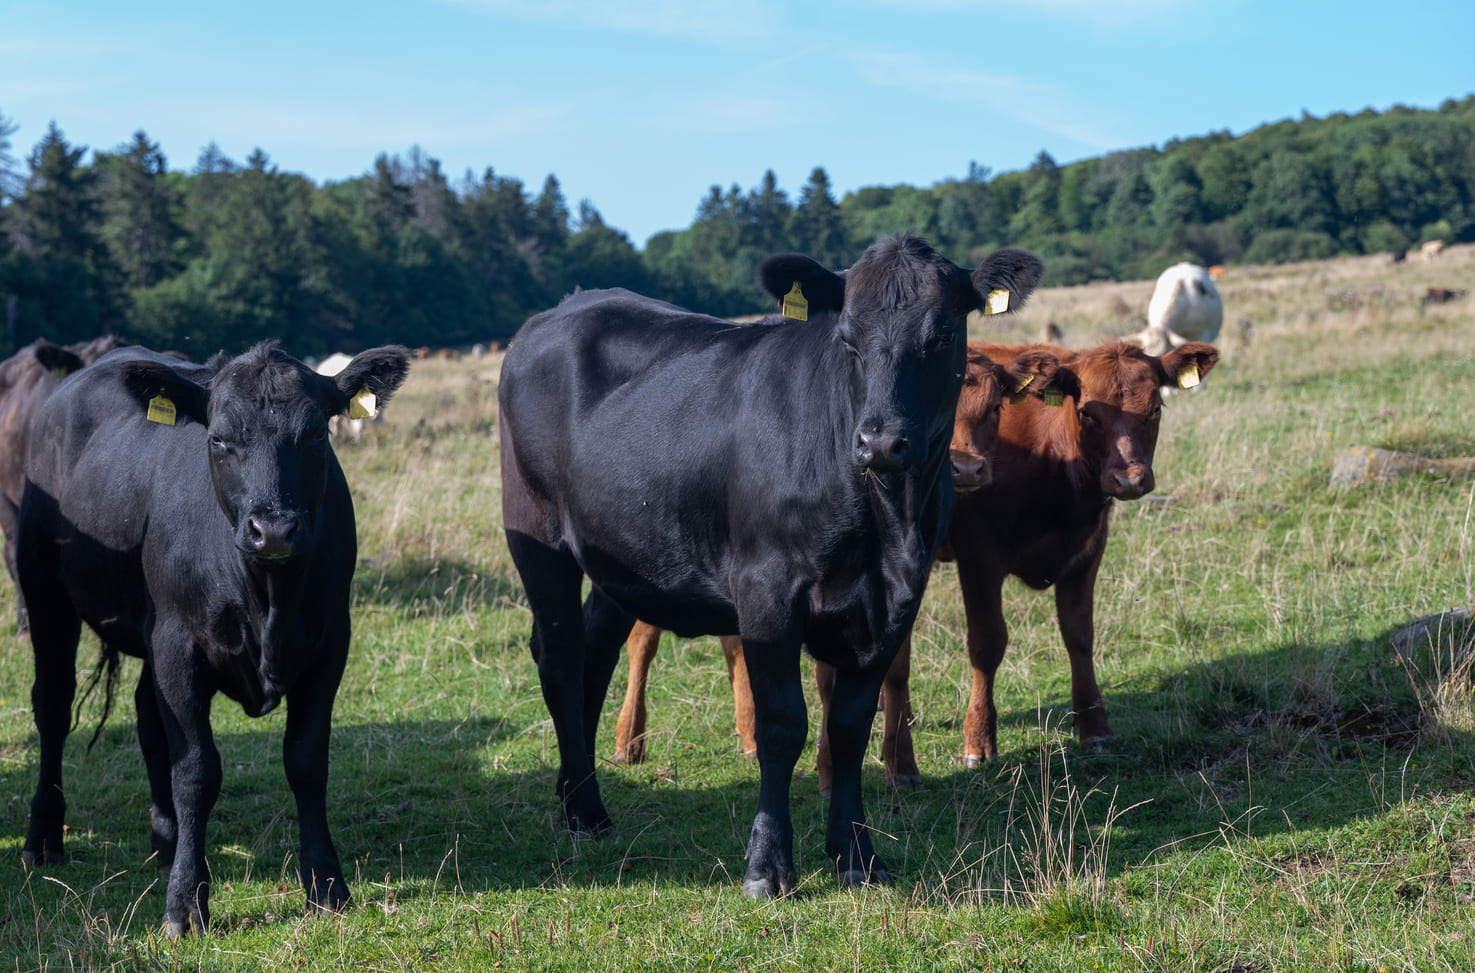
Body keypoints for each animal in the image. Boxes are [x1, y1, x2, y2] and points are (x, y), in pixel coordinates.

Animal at [18, 341, 410, 936]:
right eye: (220, 439)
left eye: (316, 435)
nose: (273, 530)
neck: (266, 595)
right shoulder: (179, 648)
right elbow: (197, 770)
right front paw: (186, 903)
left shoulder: (328, 646)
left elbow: (306, 761)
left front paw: (326, 886)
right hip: (45, 592)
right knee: (54, 708)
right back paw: (43, 836)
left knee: (146, 718)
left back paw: (166, 840)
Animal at [499, 234, 1043, 898]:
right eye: (847, 338)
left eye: (940, 335)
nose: (880, 442)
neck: (886, 523)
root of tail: (562, 309)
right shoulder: (766, 593)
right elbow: (783, 725)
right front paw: (767, 865)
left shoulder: (896, 601)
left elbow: (849, 726)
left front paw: (858, 856)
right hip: (537, 532)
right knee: (559, 654)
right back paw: (585, 810)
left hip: (623, 554)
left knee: (595, 654)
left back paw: (575, 799)